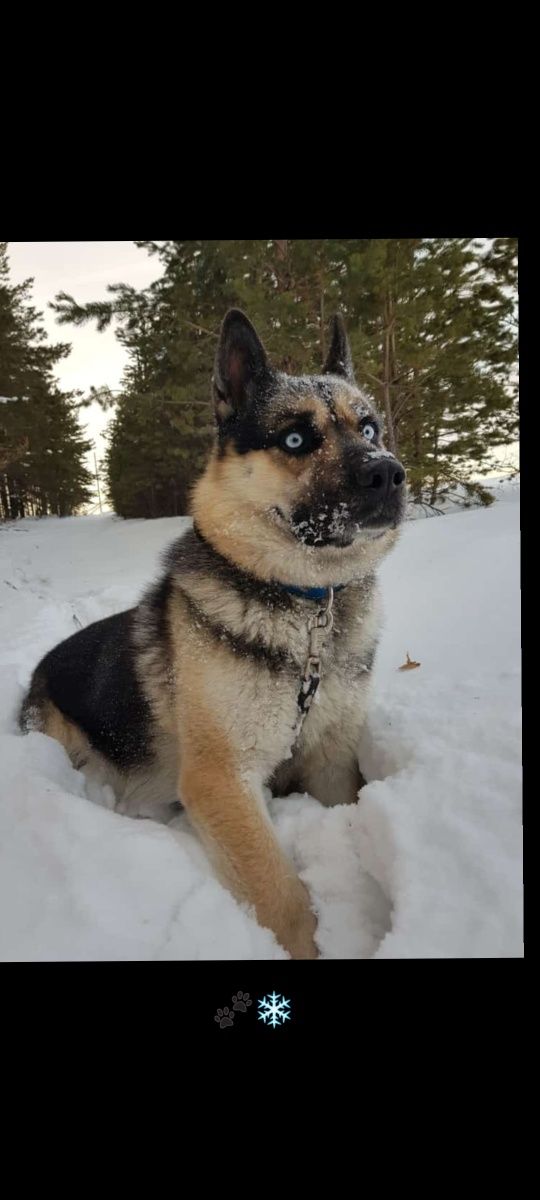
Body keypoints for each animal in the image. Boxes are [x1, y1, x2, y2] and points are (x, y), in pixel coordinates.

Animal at [18, 309, 405, 955]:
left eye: (369, 428)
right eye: (295, 440)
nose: (390, 473)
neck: (307, 606)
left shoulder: (331, 759)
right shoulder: (219, 780)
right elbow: (282, 894)